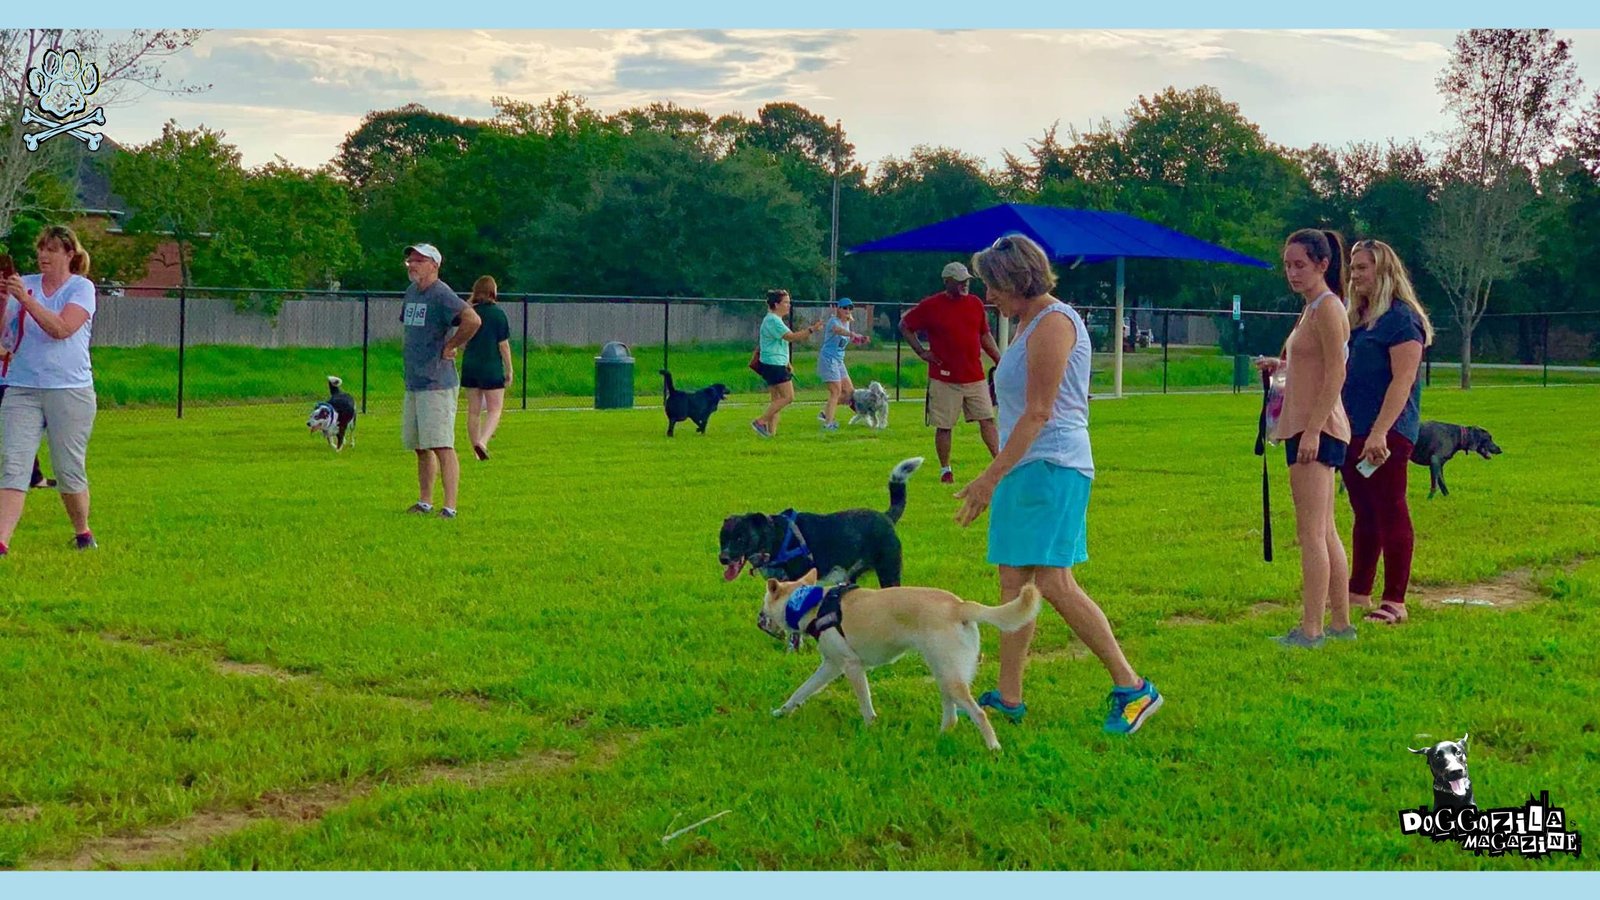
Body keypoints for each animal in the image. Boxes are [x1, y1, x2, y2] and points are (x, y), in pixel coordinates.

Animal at [716, 454, 928, 589]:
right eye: (723, 539)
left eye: (740, 538)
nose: (723, 558)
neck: (774, 537)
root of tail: (886, 516)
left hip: (888, 571)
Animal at [755, 566, 1043, 749]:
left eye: (763, 603)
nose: (758, 619)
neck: (810, 603)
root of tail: (960, 605)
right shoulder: (830, 666)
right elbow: (801, 691)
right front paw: (782, 711)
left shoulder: (851, 666)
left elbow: (865, 703)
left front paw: (870, 727)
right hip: (944, 673)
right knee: (952, 713)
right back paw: (942, 736)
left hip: (949, 676)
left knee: (979, 713)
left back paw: (993, 748)